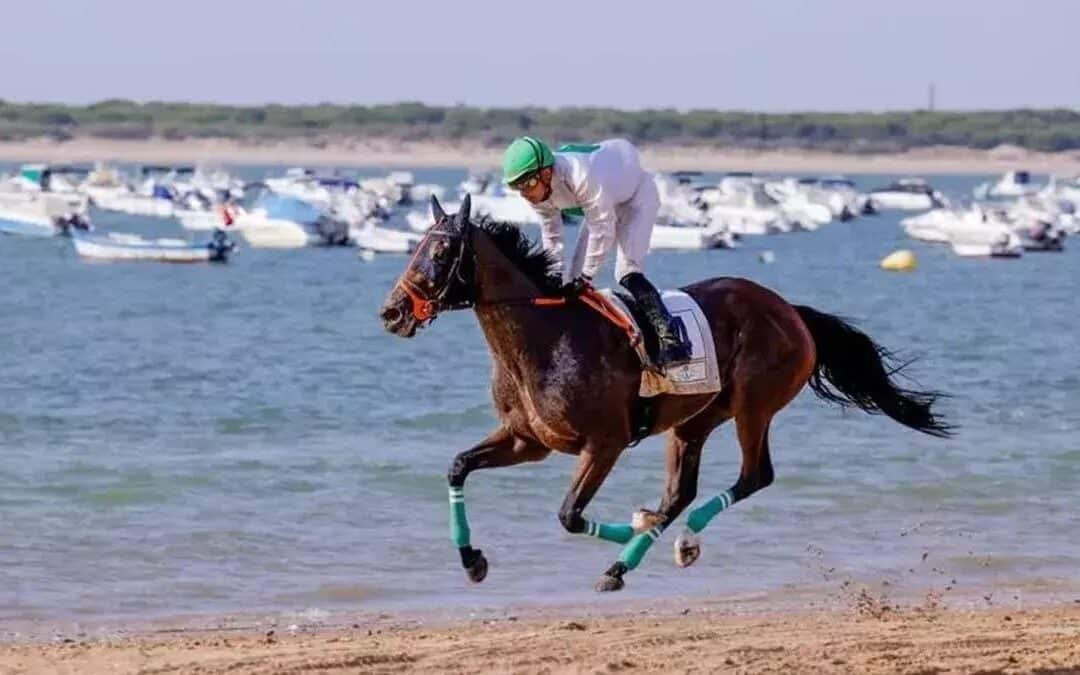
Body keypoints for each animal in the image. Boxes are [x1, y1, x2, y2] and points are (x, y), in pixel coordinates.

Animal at [379, 195, 950, 592]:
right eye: (416, 247)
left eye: (442, 250)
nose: (392, 312)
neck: (548, 336)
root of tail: (791, 310)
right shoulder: (528, 441)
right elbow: (458, 467)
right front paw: (472, 561)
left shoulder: (603, 443)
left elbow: (570, 515)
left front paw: (632, 523)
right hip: (694, 420)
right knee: (682, 492)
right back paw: (634, 556)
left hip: (753, 406)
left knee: (753, 476)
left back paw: (671, 540)